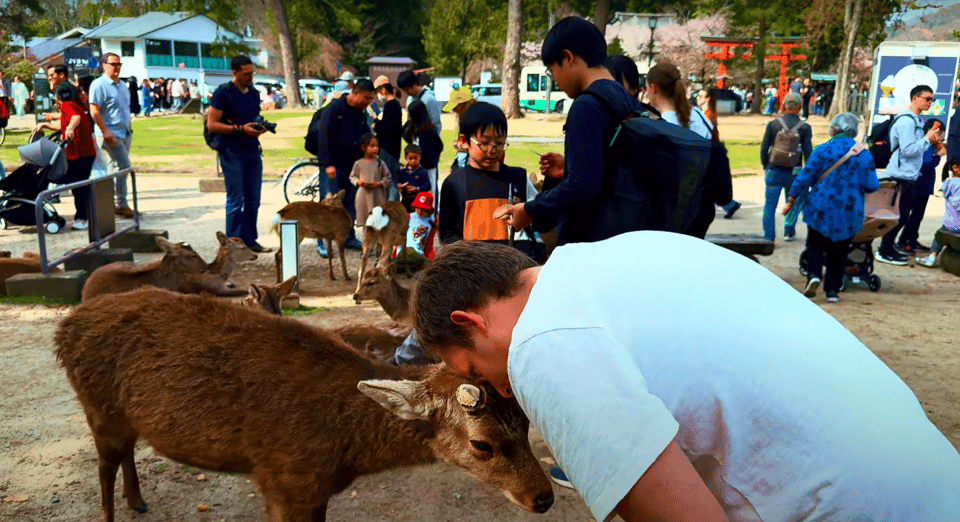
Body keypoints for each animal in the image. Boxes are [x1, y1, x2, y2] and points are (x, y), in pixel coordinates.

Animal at [56, 288, 556, 520]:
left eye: (526, 423)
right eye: (481, 444)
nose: (544, 496)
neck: (346, 450)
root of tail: (63, 327)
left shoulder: (312, 490)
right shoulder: (284, 479)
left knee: (125, 454)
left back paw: (138, 500)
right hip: (97, 408)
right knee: (104, 465)